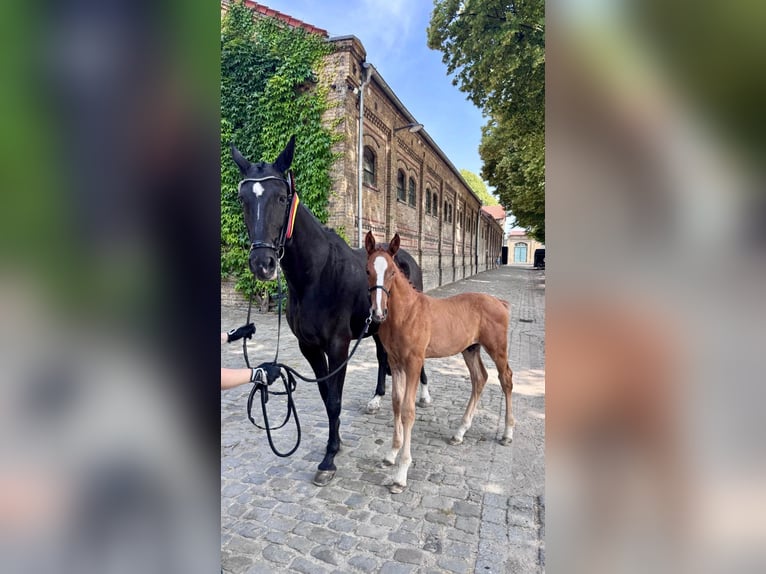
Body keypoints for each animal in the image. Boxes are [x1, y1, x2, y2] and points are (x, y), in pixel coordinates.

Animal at [230, 136, 430, 486]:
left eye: (281, 197)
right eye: (243, 199)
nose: (262, 264)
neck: (317, 274)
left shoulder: (338, 346)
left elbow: (335, 399)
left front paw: (329, 458)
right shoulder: (309, 347)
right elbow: (326, 397)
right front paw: (333, 444)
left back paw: (423, 395)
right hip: (377, 326)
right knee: (382, 358)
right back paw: (377, 399)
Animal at [365, 231, 515, 493]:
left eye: (392, 272)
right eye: (367, 271)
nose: (378, 313)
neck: (406, 313)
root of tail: (500, 302)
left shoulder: (414, 363)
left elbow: (408, 410)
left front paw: (401, 473)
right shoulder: (395, 363)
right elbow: (396, 403)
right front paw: (391, 453)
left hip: (497, 349)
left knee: (505, 379)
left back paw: (507, 433)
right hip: (470, 349)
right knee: (480, 379)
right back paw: (460, 432)